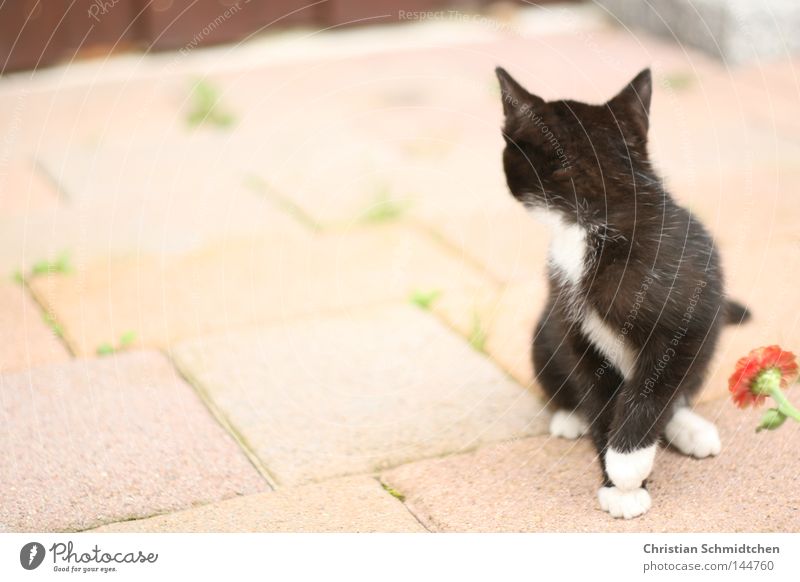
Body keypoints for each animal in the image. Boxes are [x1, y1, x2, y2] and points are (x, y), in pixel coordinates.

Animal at [494, 67, 752, 520]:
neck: (593, 220)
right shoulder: (575, 327)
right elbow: (600, 399)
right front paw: (617, 481)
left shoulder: (691, 321)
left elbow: (651, 394)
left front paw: (627, 465)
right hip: (545, 330)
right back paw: (569, 417)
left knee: (680, 392)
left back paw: (689, 428)